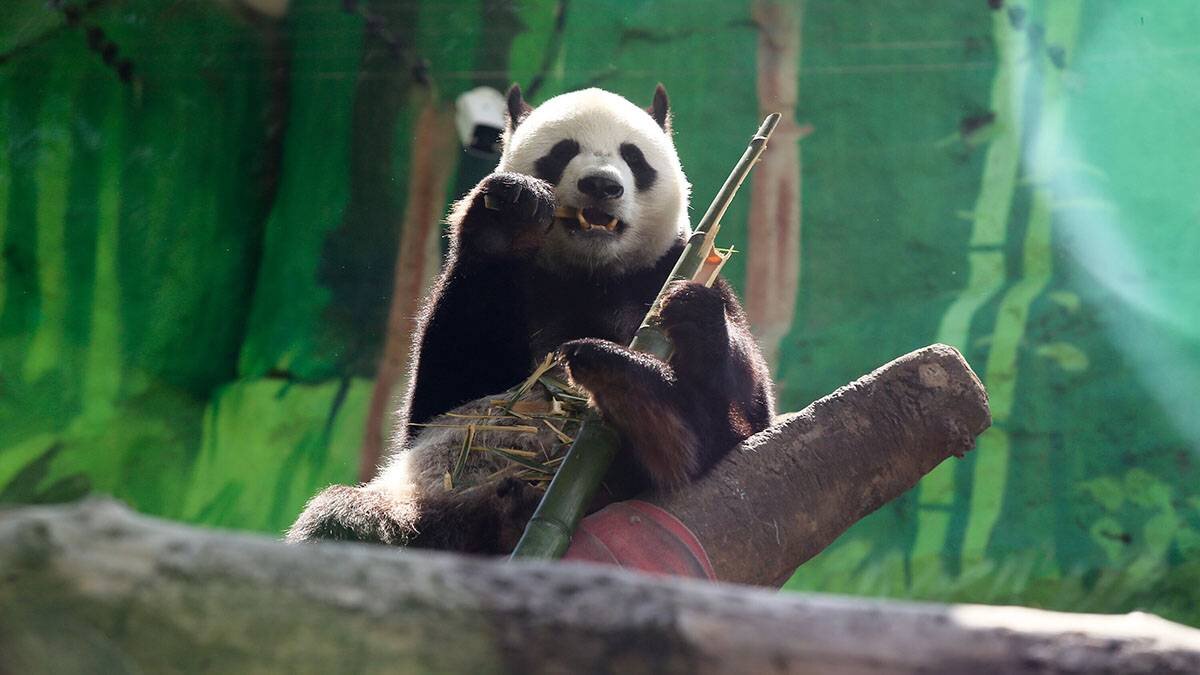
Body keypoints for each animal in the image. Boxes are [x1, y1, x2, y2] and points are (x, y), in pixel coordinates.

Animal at [290, 82, 777, 552]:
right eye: (561, 152)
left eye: (633, 158)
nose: (602, 185)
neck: (590, 274)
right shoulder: (517, 287)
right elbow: (442, 392)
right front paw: (511, 217)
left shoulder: (670, 268)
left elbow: (750, 412)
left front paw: (695, 319)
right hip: (416, 505)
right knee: (344, 520)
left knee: (698, 435)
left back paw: (638, 392)